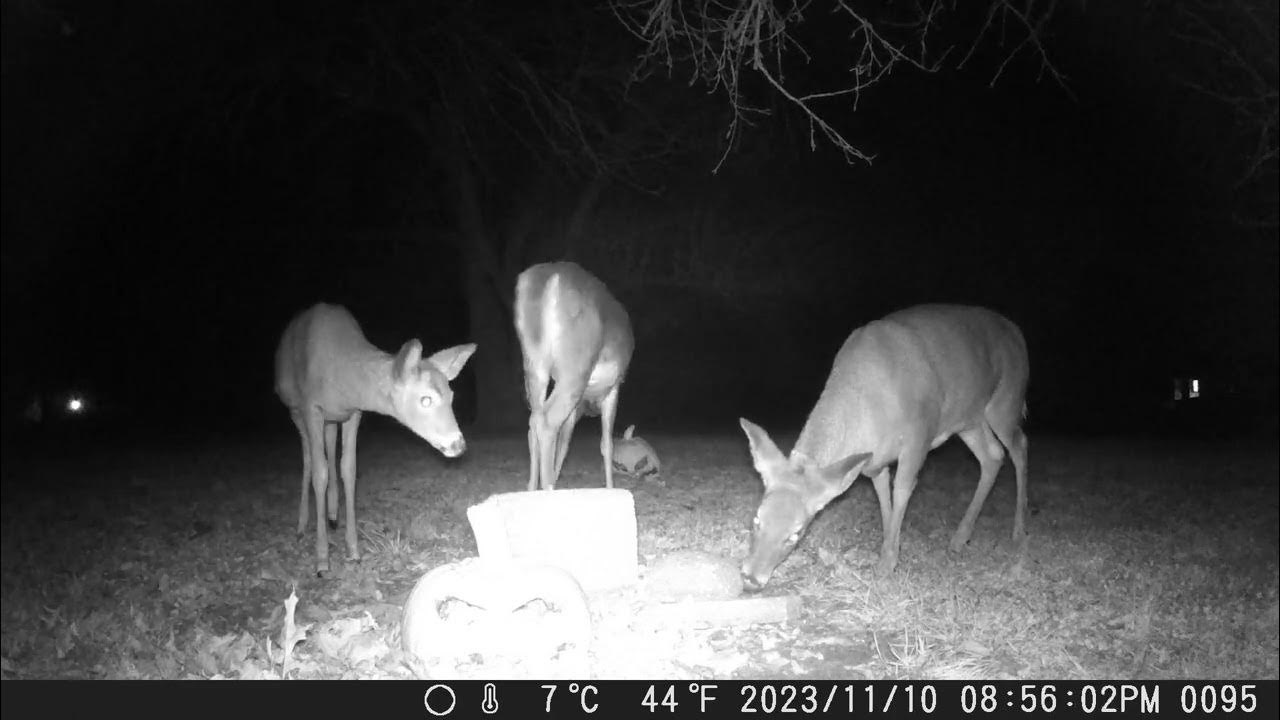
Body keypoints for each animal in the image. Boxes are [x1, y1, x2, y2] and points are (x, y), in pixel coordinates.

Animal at [274, 303, 476, 575]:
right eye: (425, 399)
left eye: (452, 396)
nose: (458, 444)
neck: (342, 382)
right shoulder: (311, 407)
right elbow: (319, 472)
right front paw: (322, 559)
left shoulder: (353, 412)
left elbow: (349, 469)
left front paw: (353, 550)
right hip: (294, 409)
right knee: (307, 456)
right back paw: (302, 525)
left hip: (330, 419)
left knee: (330, 444)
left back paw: (333, 515)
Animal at [514, 262, 634, 491]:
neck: (588, 402)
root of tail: (551, 277)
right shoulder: (613, 389)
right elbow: (607, 444)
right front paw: (611, 488)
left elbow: (565, 442)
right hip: (576, 366)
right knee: (547, 422)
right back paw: (548, 487)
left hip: (534, 362)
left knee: (533, 422)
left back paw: (532, 488)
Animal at [739, 304, 1029, 589]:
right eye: (756, 519)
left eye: (796, 534)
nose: (751, 577)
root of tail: (1016, 332)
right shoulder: (874, 461)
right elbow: (882, 495)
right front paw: (889, 546)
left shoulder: (919, 435)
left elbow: (901, 489)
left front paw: (888, 562)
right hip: (968, 419)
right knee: (993, 455)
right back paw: (960, 537)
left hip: (1005, 400)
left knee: (1019, 445)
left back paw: (1018, 531)